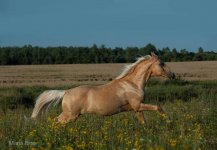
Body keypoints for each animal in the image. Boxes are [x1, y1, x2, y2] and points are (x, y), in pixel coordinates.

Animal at [31, 53, 175, 123]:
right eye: (161, 64)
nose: (173, 75)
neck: (133, 84)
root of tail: (66, 92)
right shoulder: (138, 105)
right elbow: (158, 107)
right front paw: (169, 121)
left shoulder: (137, 108)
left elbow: (143, 122)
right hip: (70, 115)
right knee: (56, 122)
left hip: (70, 115)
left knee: (55, 120)